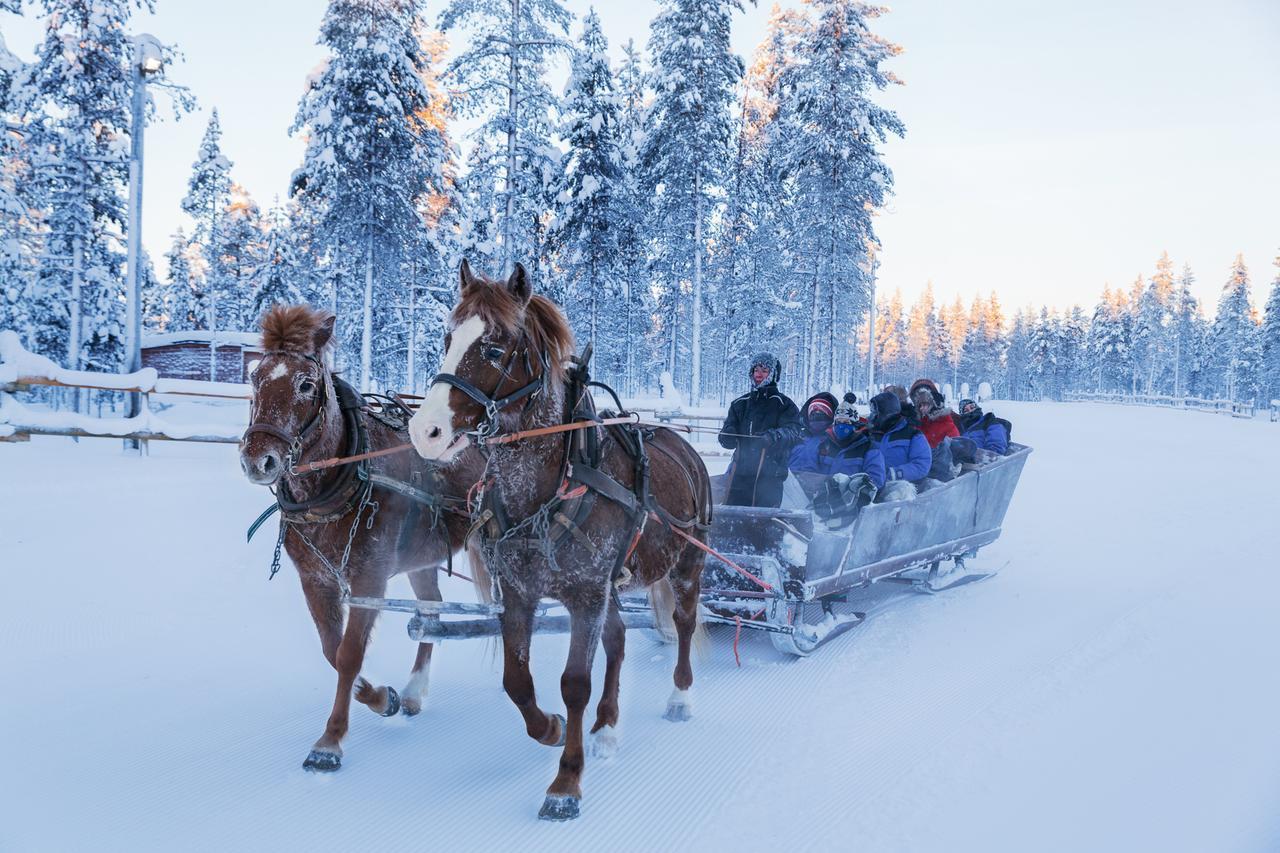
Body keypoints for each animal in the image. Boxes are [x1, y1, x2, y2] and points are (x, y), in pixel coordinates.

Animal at [238, 303, 481, 768]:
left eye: (306, 383)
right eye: (255, 378)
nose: (258, 460)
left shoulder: (370, 578)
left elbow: (349, 654)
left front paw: (330, 740)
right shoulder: (316, 580)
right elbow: (331, 651)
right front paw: (383, 697)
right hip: (423, 557)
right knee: (432, 610)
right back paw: (414, 691)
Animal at [407, 262, 716, 819]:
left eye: (494, 347)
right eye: (446, 338)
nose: (426, 430)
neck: (551, 485)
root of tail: (683, 443)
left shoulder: (586, 595)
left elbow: (575, 684)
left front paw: (567, 781)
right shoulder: (522, 593)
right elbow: (516, 680)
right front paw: (549, 729)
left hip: (686, 566)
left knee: (683, 623)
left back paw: (680, 698)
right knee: (618, 639)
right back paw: (608, 726)